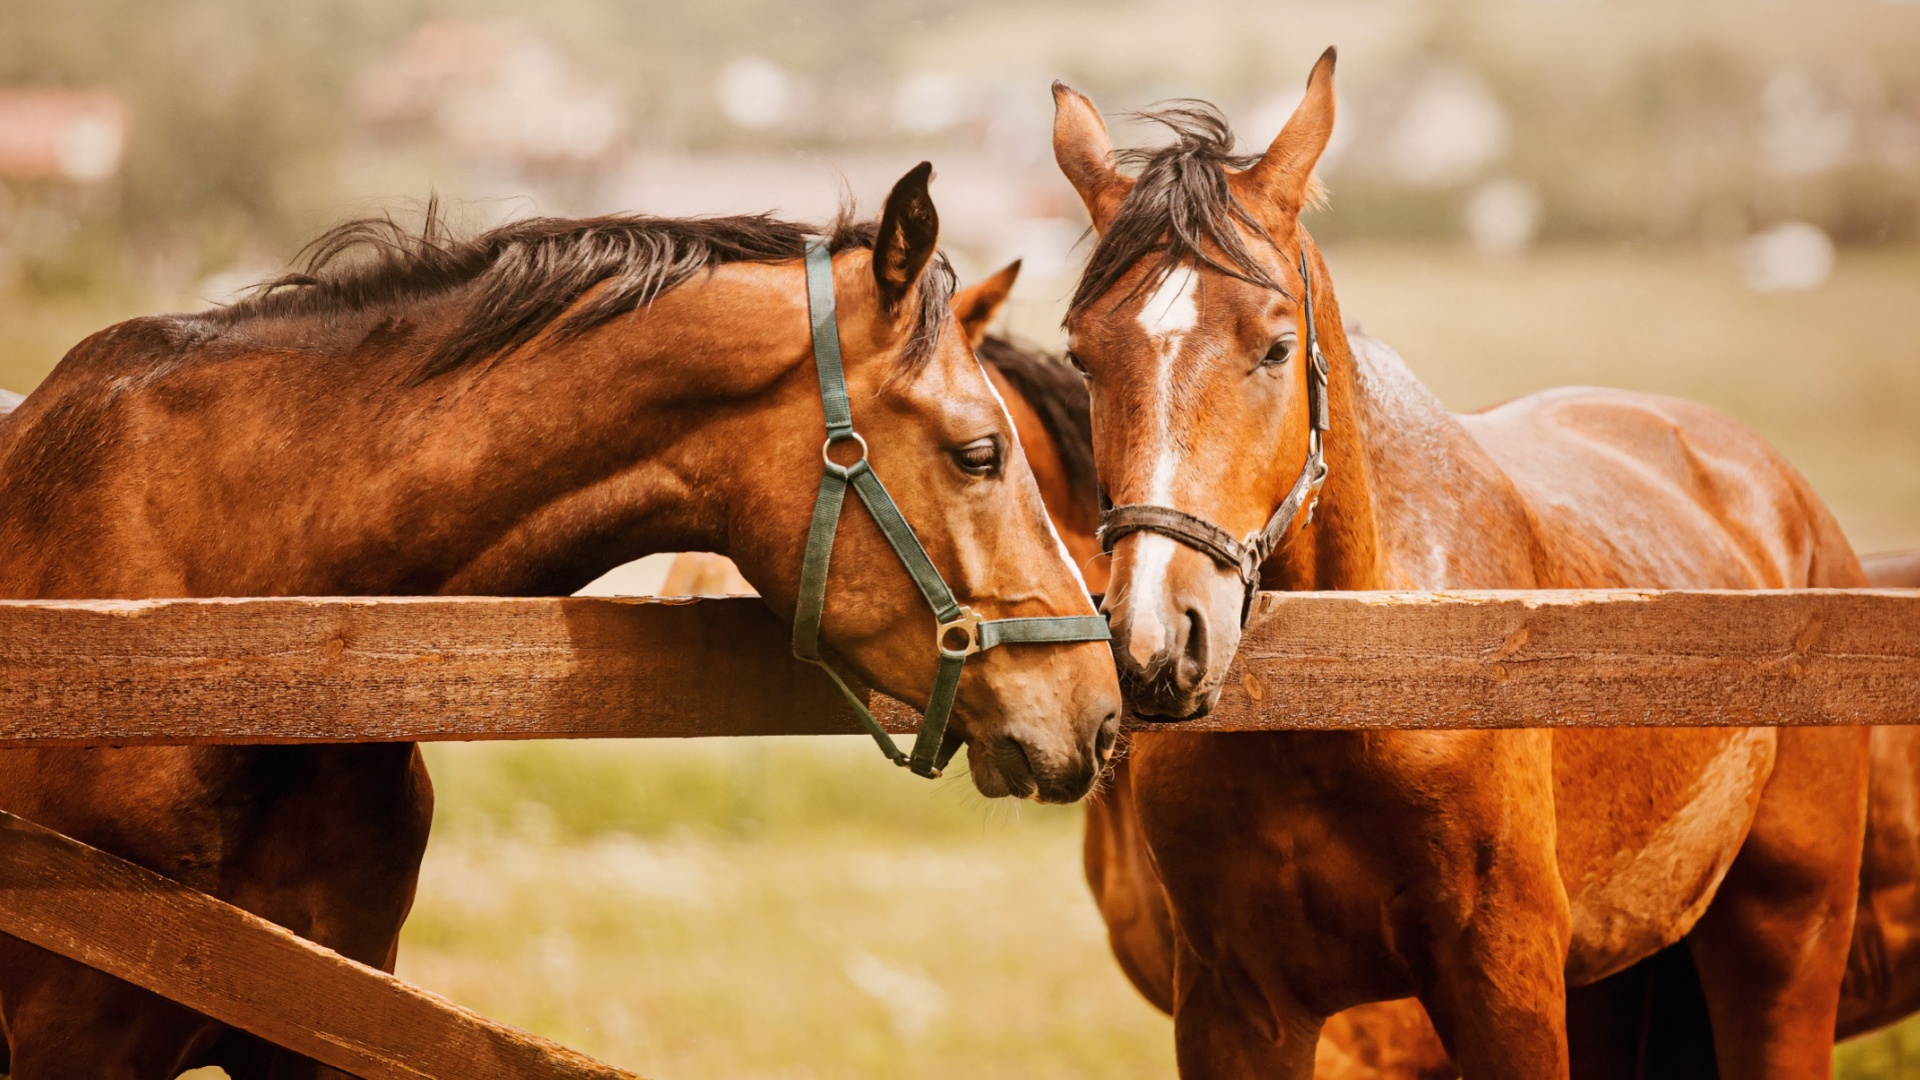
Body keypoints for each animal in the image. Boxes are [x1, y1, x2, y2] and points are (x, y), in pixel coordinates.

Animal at [1052, 50, 1873, 1076]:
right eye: (1082, 358)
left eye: (1276, 348)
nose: (1156, 641)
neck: (1354, 690)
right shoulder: (1235, 1006)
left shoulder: (1501, 982)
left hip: (1786, 948)